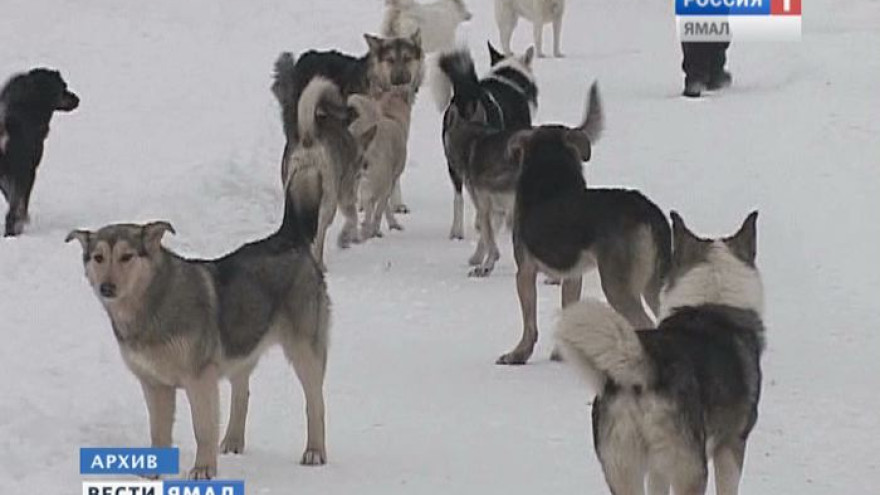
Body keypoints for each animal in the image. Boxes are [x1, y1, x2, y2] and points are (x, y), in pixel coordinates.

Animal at [0, 69, 78, 237]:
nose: (77, 99)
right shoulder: (29, 171)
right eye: (63, 86)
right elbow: (20, 203)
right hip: (22, 172)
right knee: (12, 213)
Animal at [66, 198, 330, 480]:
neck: (153, 302)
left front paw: (204, 469)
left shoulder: (200, 379)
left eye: (126, 257)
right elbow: (158, 431)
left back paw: (314, 451)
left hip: (304, 352)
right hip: (241, 344)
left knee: (315, 403)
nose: (106, 288)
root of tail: (289, 237)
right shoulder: (154, 384)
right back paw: (233, 441)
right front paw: (153, 473)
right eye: (98, 258)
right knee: (242, 394)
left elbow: (203, 428)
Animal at [496, 83, 672, 366]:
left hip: (617, 284)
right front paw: (560, 354)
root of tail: (646, 211)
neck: (551, 176)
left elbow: (529, 323)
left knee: (644, 323)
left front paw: (518, 354)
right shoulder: (572, 276)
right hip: (653, 283)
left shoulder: (525, 271)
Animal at [556, 212, 764, 495]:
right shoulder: (732, 444)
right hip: (690, 469)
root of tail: (645, 369)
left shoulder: (657, 469)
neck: (711, 303)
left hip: (623, 467)